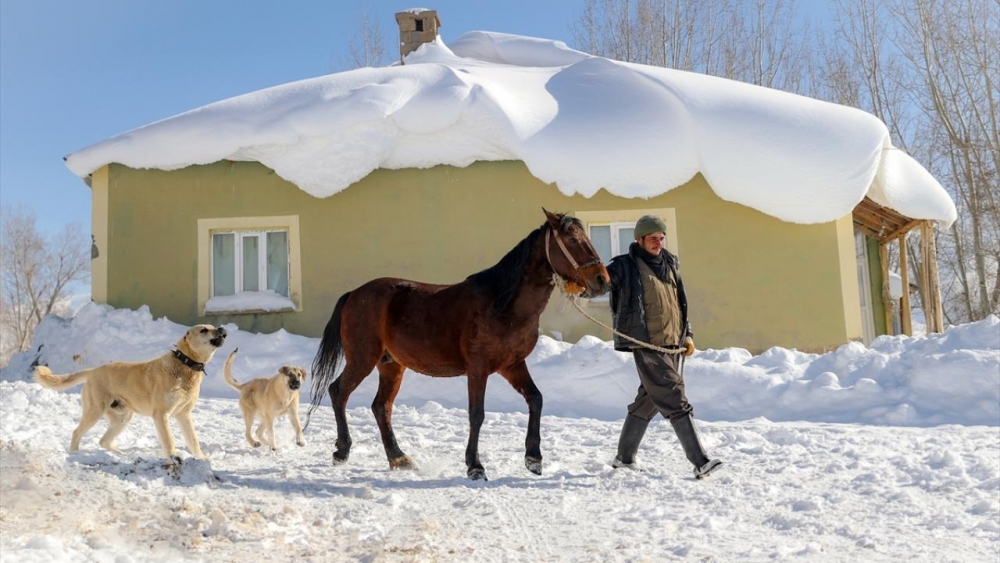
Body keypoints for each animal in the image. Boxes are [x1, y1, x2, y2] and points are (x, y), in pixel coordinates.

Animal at [33, 324, 227, 460]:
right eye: (204, 330)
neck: (185, 365)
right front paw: (173, 457)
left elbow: (193, 440)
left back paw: (119, 453)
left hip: (123, 418)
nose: (222, 329)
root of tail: (93, 370)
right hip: (95, 411)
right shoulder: (161, 415)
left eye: (213, 326)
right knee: (77, 433)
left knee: (103, 440)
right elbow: (169, 441)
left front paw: (201, 458)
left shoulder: (184, 415)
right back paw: (74, 453)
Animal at [308, 209, 608, 482]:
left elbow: (536, 398)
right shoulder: (478, 369)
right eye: (572, 240)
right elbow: (477, 414)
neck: (502, 305)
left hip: (391, 366)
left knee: (381, 407)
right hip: (363, 358)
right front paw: (475, 466)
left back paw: (399, 458)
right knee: (338, 392)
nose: (602, 280)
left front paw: (533, 458)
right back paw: (343, 451)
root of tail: (353, 294)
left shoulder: (512, 365)